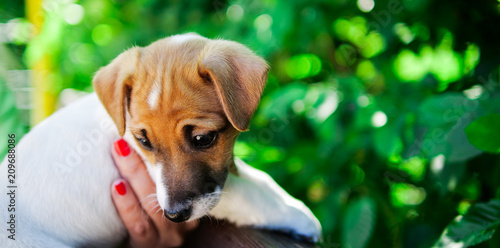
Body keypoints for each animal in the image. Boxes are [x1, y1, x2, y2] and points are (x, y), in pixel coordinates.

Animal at [0, 32, 320, 246]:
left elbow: (257, 179)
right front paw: (300, 215)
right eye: (144, 142)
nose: (173, 216)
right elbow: (250, 195)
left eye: (203, 139)